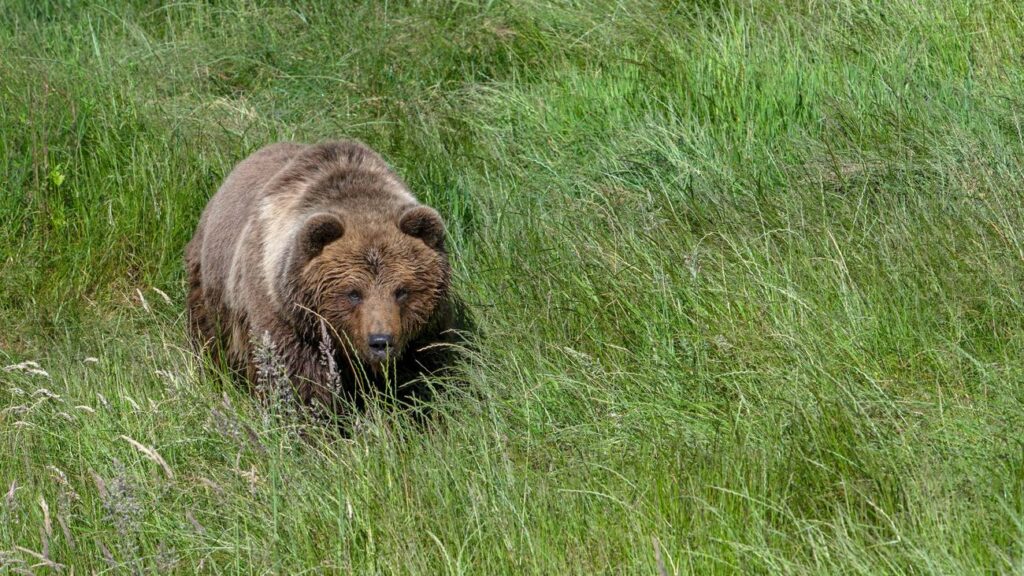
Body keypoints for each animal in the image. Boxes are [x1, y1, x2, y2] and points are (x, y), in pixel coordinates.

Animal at [186, 139, 466, 412]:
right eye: (353, 293)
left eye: (402, 291)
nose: (380, 341)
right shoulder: (287, 319)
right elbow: (300, 381)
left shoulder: (426, 328)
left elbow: (424, 373)